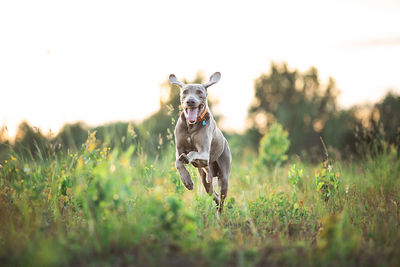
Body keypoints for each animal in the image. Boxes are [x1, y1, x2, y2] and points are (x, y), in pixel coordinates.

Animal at [169, 72, 231, 213]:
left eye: (199, 92)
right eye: (185, 92)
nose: (190, 101)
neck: (191, 126)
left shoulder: (204, 151)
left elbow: (192, 153)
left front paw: (187, 158)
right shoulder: (178, 150)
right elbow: (177, 162)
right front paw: (187, 181)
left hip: (224, 177)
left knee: (221, 200)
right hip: (205, 180)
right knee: (214, 194)